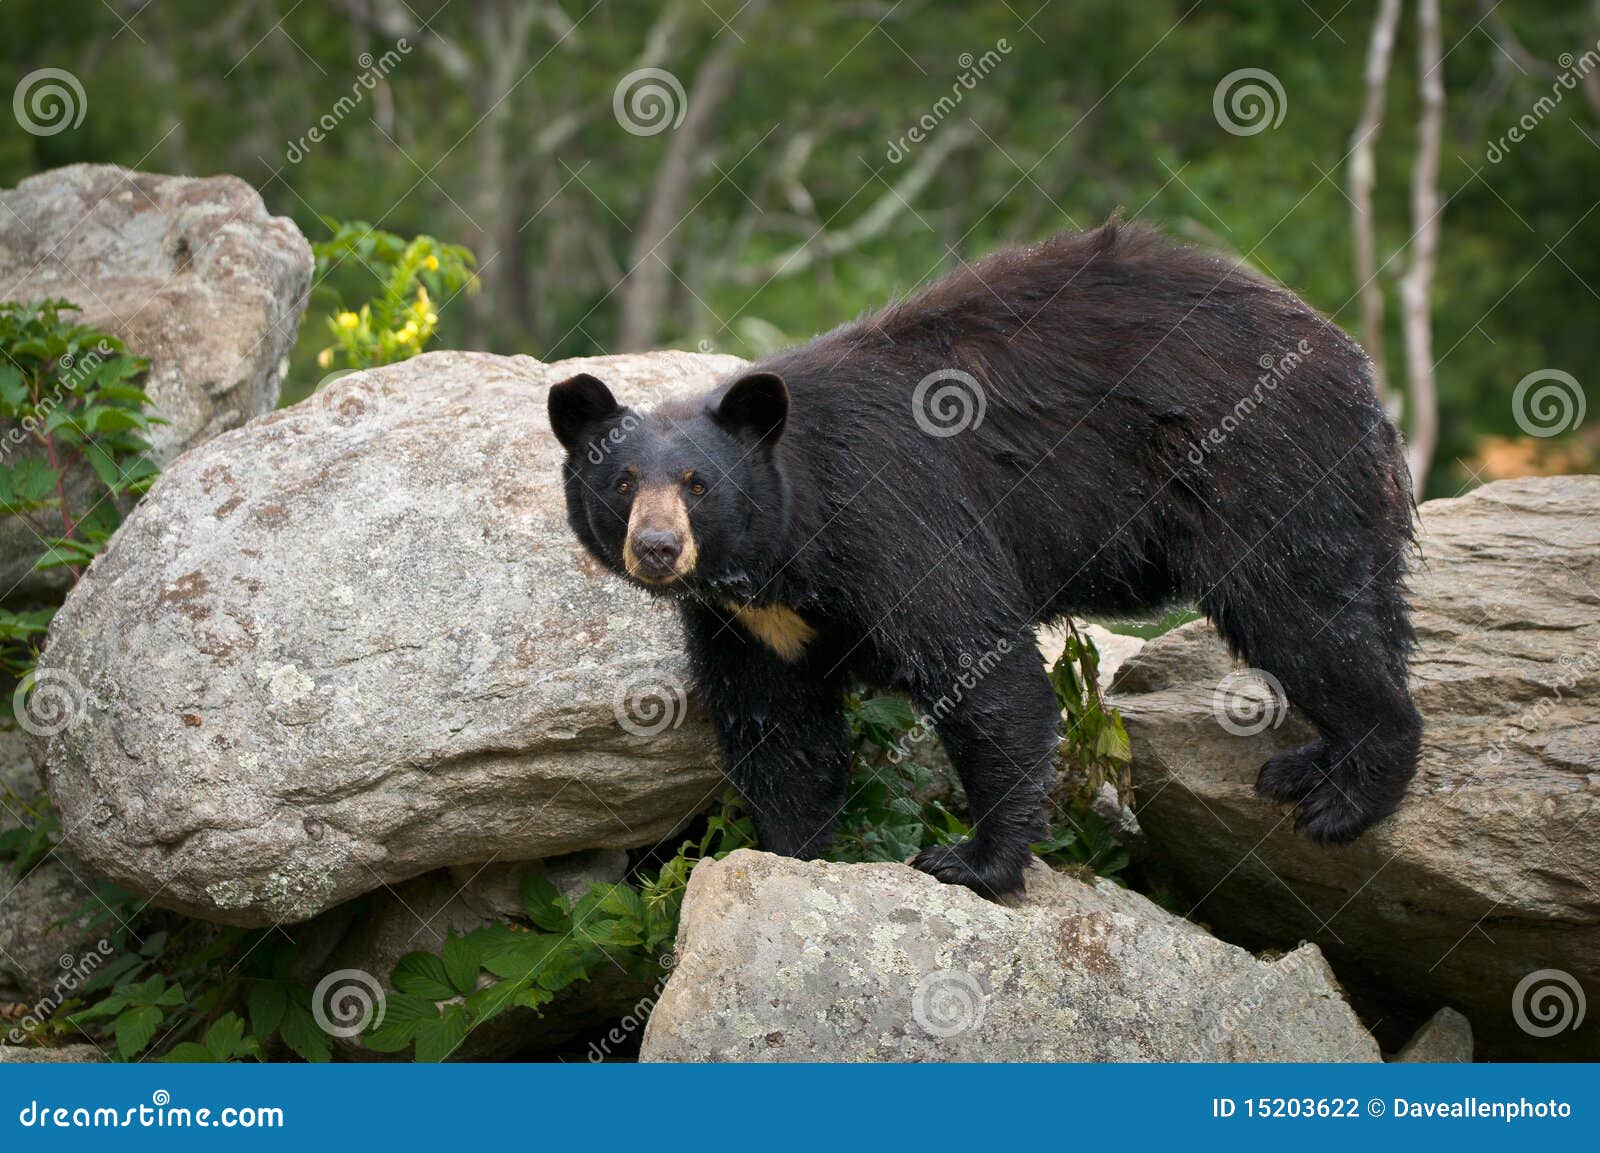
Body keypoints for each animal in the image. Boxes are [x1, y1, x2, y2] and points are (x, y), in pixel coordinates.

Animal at [553, 220, 1427, 895]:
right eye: (622, 481)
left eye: (698, 484)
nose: (658, 547)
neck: (785, 549)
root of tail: (1353, 364)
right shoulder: (747, 619)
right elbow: (778, 728)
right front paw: (792, 851)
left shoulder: (893, 515)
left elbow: (982, 671)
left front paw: (974, 859)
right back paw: (1311, 764)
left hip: (1263, 466)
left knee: (1299, 613)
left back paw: (1346, 793)